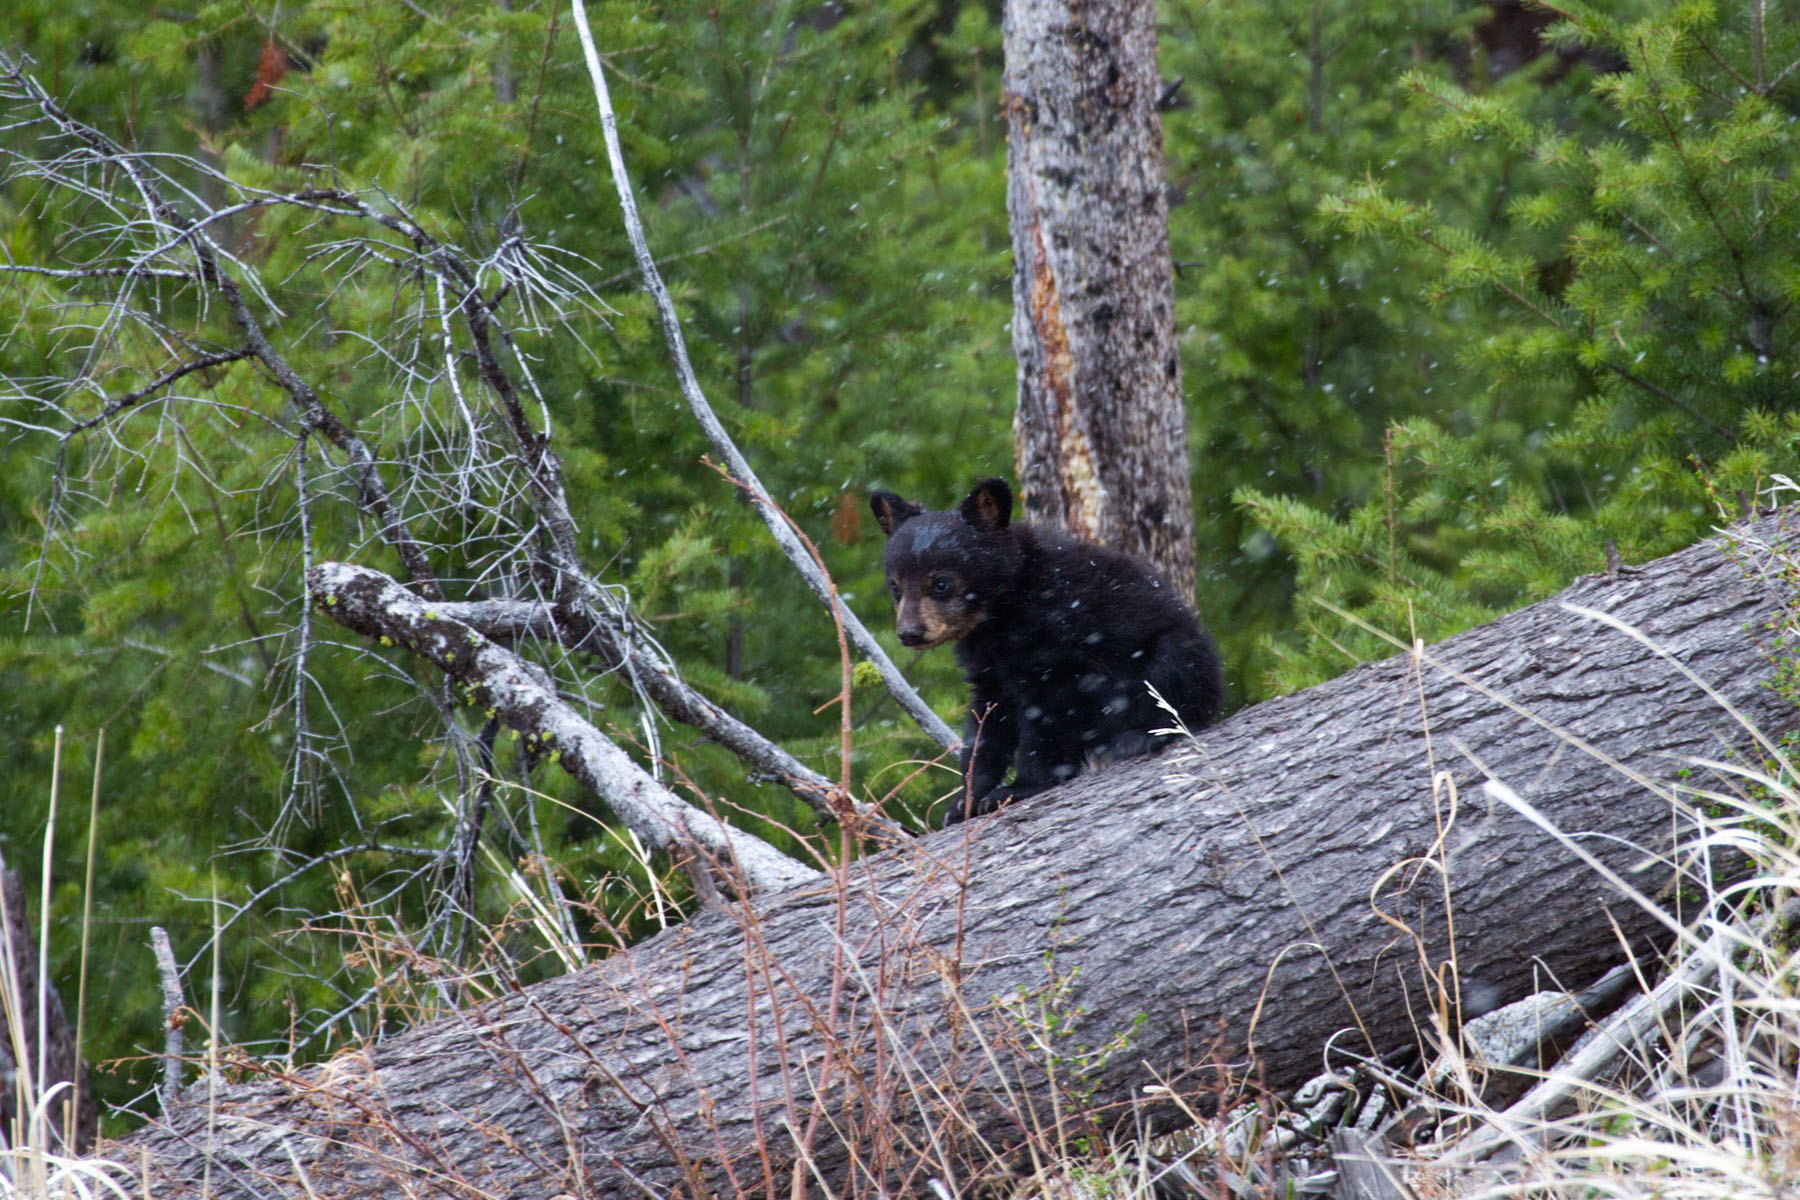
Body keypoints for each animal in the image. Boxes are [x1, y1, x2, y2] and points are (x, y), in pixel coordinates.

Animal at [869, 477, 1223, 826]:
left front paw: (1018, 788)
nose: (910, 633)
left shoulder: (1057, 638)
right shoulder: (987, 664)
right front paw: (964, 801)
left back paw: (1140, 737)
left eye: (940, 583)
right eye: (896, 587)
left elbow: (1048, 713)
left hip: (1174, 651)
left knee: (1171, 680)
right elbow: (987, 723)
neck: (999, 616)